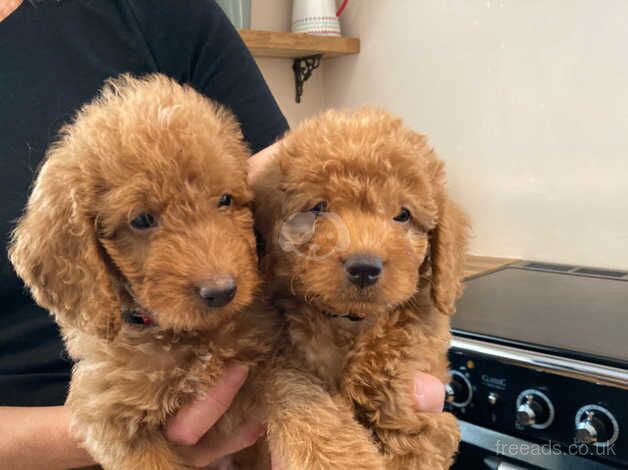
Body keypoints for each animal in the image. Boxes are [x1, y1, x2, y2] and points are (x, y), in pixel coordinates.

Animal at [253, 108, 468, 468]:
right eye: (319, 207)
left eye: (403, 214)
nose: (365, 268)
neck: (348, 322)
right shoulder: (284, 354)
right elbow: (302, 397)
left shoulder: (430, 402)